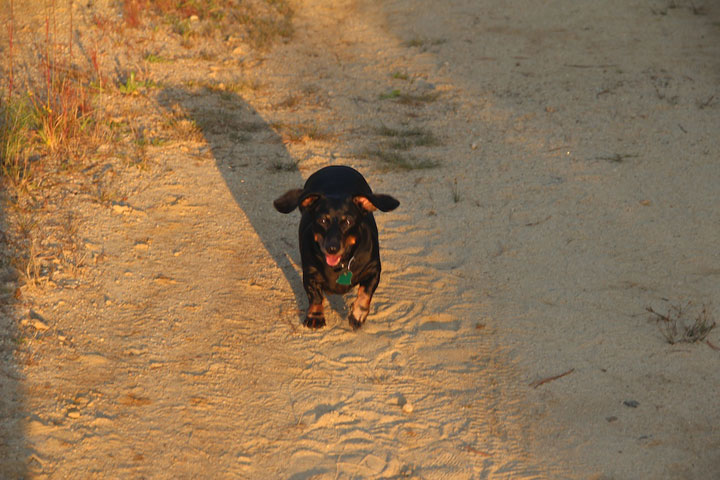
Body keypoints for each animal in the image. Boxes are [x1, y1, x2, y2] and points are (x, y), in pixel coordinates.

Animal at [276, 166, 400, 330]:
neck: (340, 265)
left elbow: (365, 293)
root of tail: (335, 167)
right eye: (322, 220)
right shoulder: (310, 273)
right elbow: (315, 296)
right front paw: (315, 316)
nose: (332, 248)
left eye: (348, 221)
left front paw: (357, 315)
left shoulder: (373, 270)